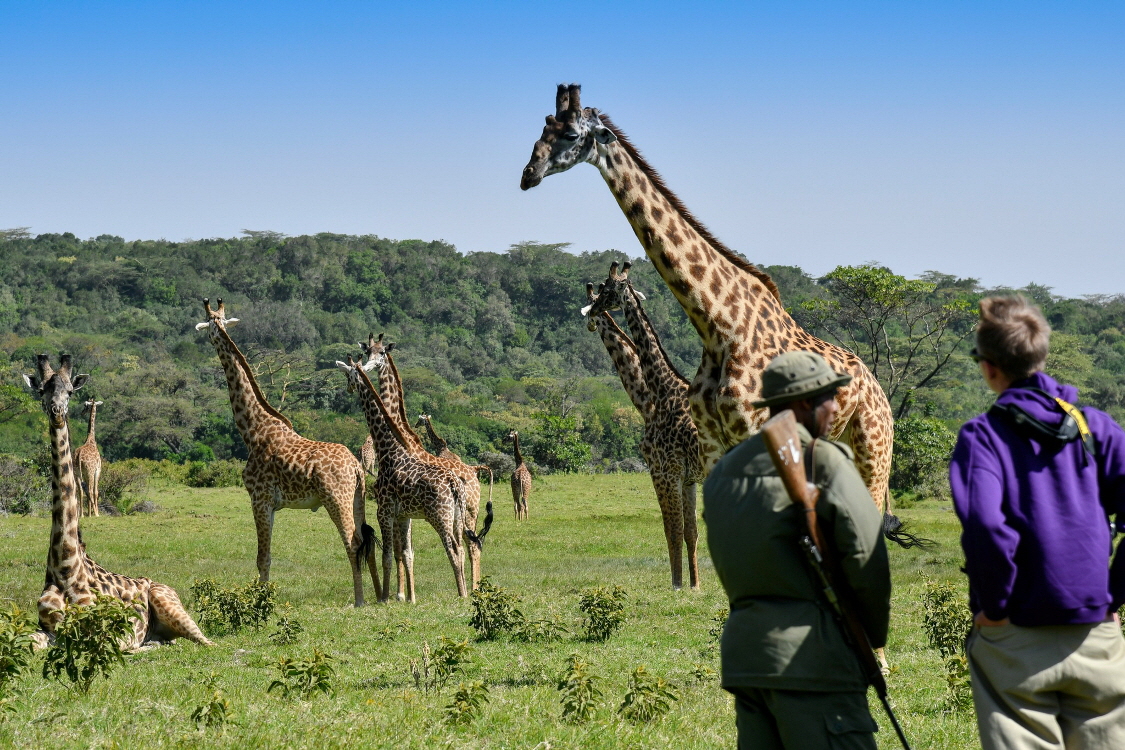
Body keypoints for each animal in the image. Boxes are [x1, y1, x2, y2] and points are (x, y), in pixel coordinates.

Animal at [23, 353, 212, 652]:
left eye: (70, 391)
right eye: (42, 390)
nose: (57, 412)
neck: (65, 568)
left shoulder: (102, 633)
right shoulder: (49, 631)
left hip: (168, 602)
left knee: (206, 642)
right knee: (167, 641)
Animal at [195, 296, 380, 607]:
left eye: (209, 325)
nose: (206, 338)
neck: (254, 430)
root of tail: (355, 466)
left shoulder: (259, 499)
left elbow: (262, 557)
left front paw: (259, 600)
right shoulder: (271, 504)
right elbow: (266, 556)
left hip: (336, 499)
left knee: (353, 542)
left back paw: (359, 601)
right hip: (358, 498)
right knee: (368, 540)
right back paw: (381, 596)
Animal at [335, 355, 490, 602]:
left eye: (348, 374)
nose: (348, 388)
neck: (388, 450)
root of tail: (456, 483)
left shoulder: (384, 510)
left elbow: (388, 555)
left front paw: (385, 598)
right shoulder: (404, 515)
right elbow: (407, 553)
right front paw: (410, 598)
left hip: (440, 516)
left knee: (454, 548)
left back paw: (462, 594)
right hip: (458, 516)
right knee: (464, 547)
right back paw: (466, 591)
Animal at [519, 84, 904, 530]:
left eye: (569, 135)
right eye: (543, 127)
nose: (528, 175)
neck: (719, 326)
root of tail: (879, 391)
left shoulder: (752, 439)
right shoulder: (713, 449)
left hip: (872, 449)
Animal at [580, 278, 702, 589]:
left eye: (600, 300)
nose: (590, 322)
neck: (648, 401)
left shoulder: (663, 470)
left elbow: (672, 529)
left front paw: (677, 585)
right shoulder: (687, 478)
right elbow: (690, 532)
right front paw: (694, 585)